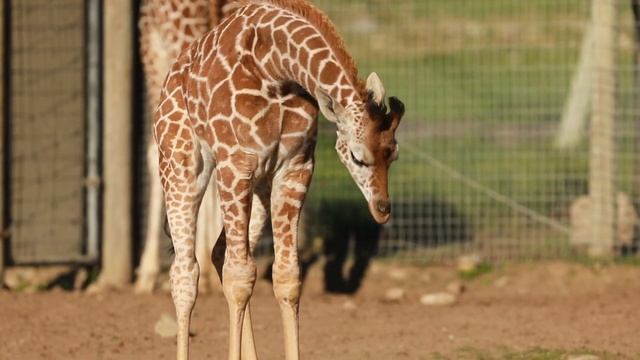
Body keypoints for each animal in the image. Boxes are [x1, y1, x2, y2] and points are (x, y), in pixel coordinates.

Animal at [154, 0, 404, 358]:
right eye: (358, 157)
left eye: (393, 154)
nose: (382, 209)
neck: (274, 69)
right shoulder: (235, 165)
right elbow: (238, 276)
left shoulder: (294, 168)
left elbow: (285, 276)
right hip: (180, 165)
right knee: (185, 273)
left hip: (259, 184)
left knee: (219, 251)